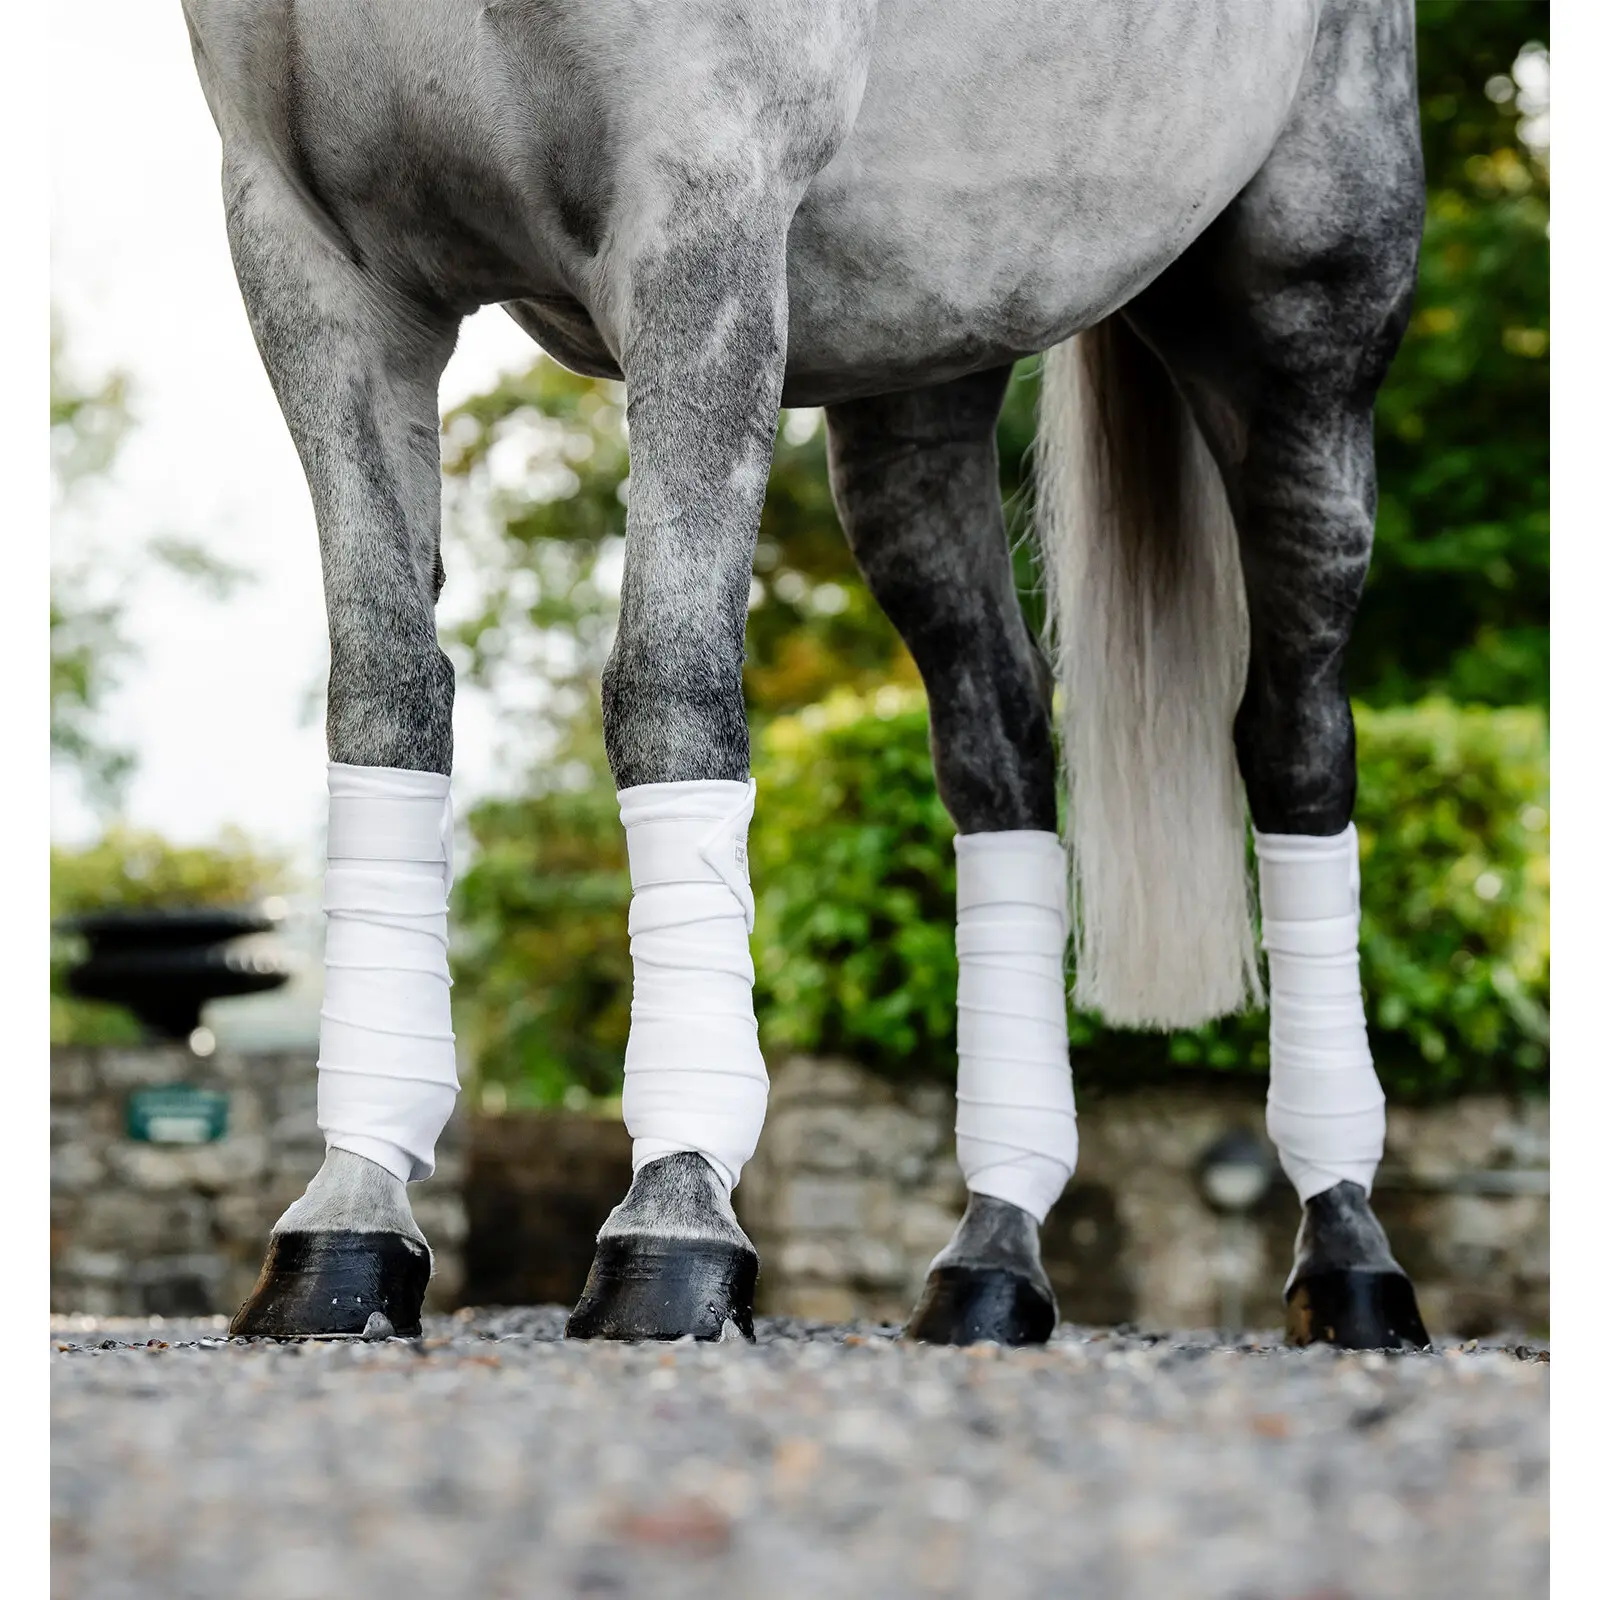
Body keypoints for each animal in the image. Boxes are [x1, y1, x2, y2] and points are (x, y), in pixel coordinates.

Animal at [189, 0, 1432, 1350]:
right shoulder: (315, 265)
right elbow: (386, 686)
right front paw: (347, 1226)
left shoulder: (701, 221)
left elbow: (669, 686)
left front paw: (674, 1226)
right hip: (930, 355)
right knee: (1000, 746)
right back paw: (991, 1259)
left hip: (1301, 340)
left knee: (1295, 743)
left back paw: (1350, 1253)